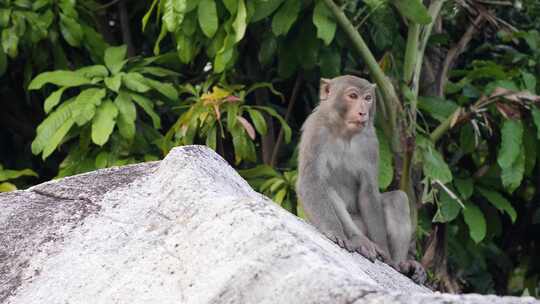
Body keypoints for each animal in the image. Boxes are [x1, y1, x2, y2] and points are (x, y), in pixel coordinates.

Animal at [298, 75, 424, 284]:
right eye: (352, 96)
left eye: (367, 98)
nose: (362, 111)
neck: (344, 132)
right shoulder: (316, 130)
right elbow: (311, 180)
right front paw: (334, 231)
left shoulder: (371, 142)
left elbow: (369, 191)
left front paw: (385, 252)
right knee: (328, 189)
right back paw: (359, 240)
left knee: (398, 199)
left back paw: (401, 265)